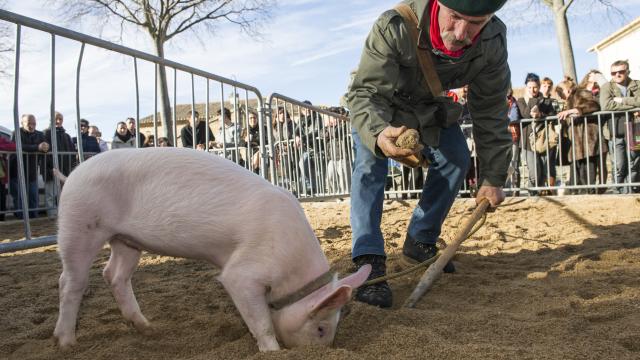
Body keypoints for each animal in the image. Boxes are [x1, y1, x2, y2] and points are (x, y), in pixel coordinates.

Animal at [53, 146, 370, 352]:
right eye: (321, 328)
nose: (322, 351)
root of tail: (72, 176)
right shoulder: (242, 274)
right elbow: (262, 322)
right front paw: (273, 351)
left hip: (127, 240)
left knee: (114, 275)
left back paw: (147, 328)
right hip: (79, 223)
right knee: (70, 281)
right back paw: (67, 343)